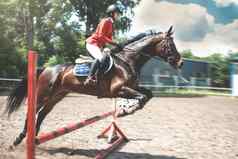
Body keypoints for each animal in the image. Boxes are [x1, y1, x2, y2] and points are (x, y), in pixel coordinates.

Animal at [6, 26, 184, 147]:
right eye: (170, 45)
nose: (181, 63)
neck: (128, 60)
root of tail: (46, 68)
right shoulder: (118, 90)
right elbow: (142, 97)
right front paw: (125, 111)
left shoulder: (132, 87)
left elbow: (148, 94)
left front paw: (126, 109)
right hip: (43, 94)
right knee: (32, 112)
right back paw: (20, 138)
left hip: (57, 96)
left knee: (42, 114)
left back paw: (34, 138)